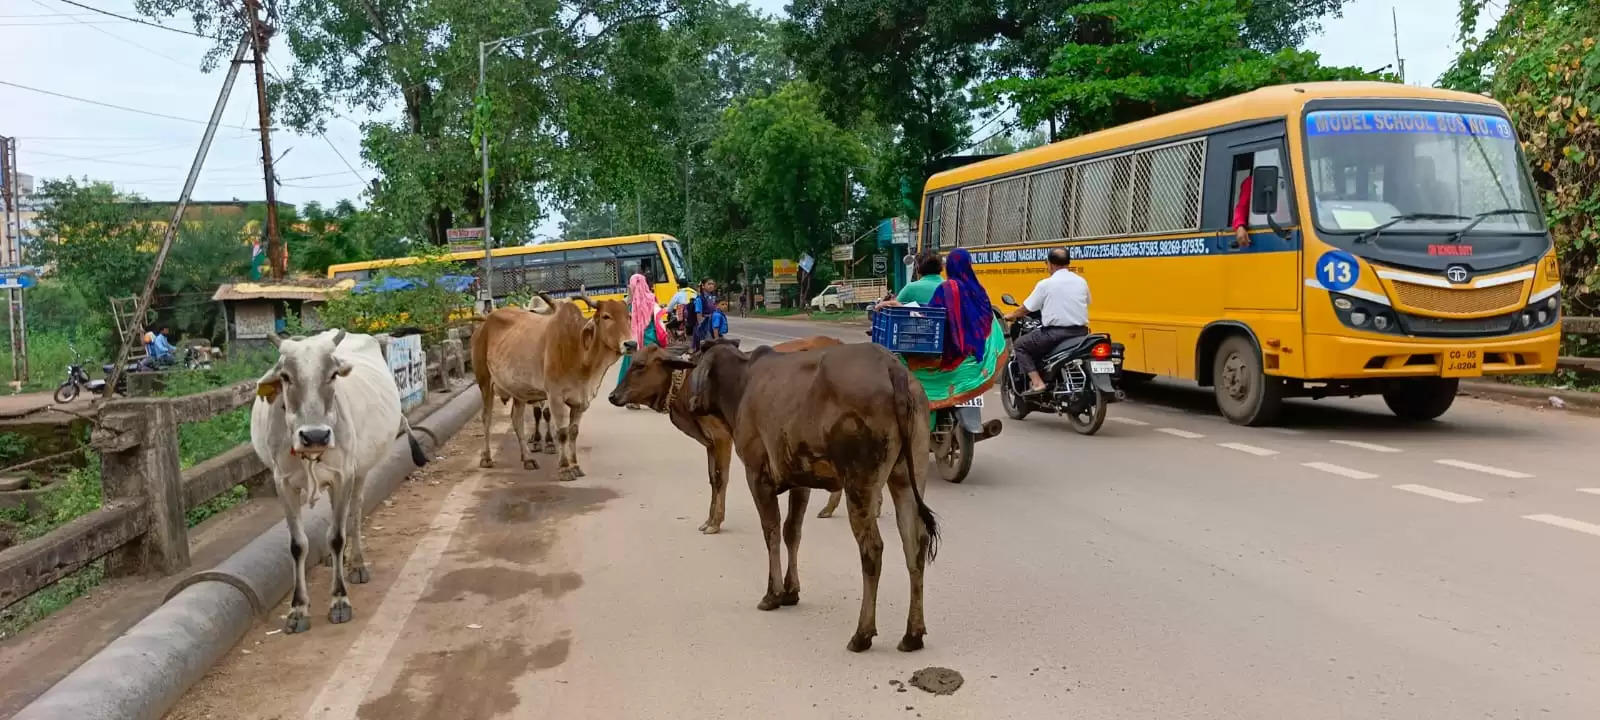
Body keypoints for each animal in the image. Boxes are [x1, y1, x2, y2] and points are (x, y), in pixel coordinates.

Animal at [251, 329, 428, 633]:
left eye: (333, 374)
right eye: (285, 376)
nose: (315, 436)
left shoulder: (343, 475)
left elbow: (336, 537)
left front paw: (340, 600)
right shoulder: (283, 483)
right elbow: (298, 544)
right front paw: (298, 608)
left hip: (359, 473)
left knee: (353, 515)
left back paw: (356, 563)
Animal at [470, 296, 633, 480]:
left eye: (628, 317)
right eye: (606, 316)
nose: (631, 344)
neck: (578, 350)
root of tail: (483, 325)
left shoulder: (581, 400)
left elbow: (573, 432)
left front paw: (575, 465)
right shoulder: (555, 396)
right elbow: (562, 432)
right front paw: (564, 468)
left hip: (518, 390)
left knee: (517, 420)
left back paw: (527, 459)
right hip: (484, 382)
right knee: (486, 418)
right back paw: (487, 457)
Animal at [604, 334, 844, 531]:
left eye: (640, 365)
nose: (612, 396)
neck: (687, 384)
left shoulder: (722, 438)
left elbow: (720, 478)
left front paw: (715, 523)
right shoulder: (710, 443)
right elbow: (712, 478)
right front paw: (709, 519)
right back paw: (829, 508)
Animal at [662, 342, 934, 652]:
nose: (691, 403)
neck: (740, 383)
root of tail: (893, 367)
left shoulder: (757, 475)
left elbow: (771, 532)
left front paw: (773, 593)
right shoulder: (799, 481)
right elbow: (792, 532)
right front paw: (791, 591)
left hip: (859, 483)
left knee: (872, 550)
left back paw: (862, 634)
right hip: (907, 476)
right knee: (915, 543)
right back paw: (913, 634)